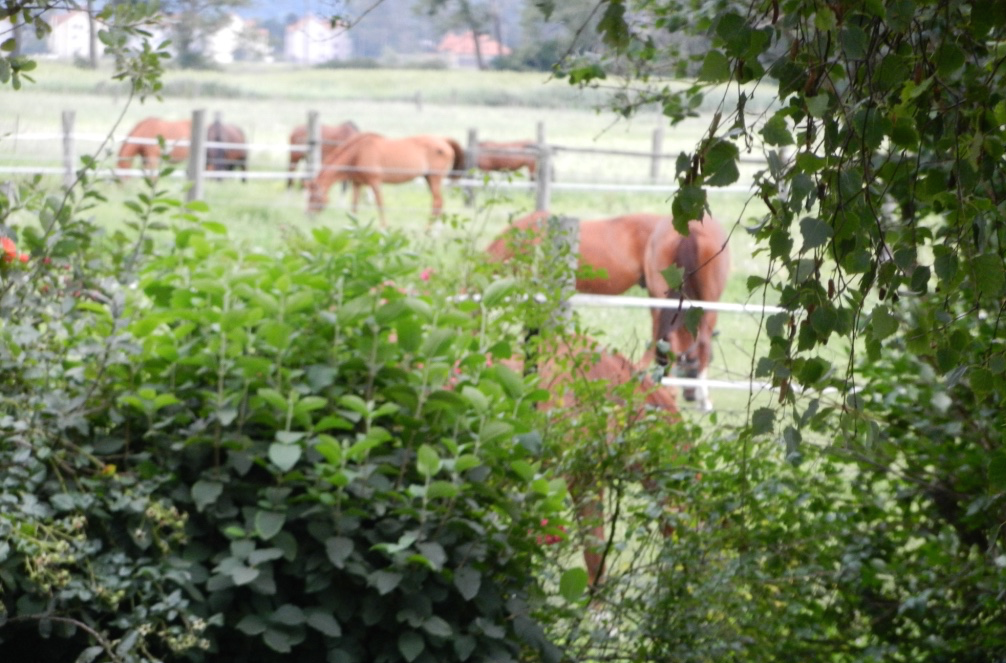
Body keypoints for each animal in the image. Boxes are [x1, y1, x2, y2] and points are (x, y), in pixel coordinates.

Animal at [305, 131, 466, 225]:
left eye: (314, 197)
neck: (358, 153)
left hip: (434, 178)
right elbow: (354, 206)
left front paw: (384, 227)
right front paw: (353, 227)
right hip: (428, 179)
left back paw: (430, 231)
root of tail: (444, 141)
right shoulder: (357, 183)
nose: (309, 216)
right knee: (438, 202)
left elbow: (380, 204)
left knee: (437, 202)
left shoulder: (375, 182)